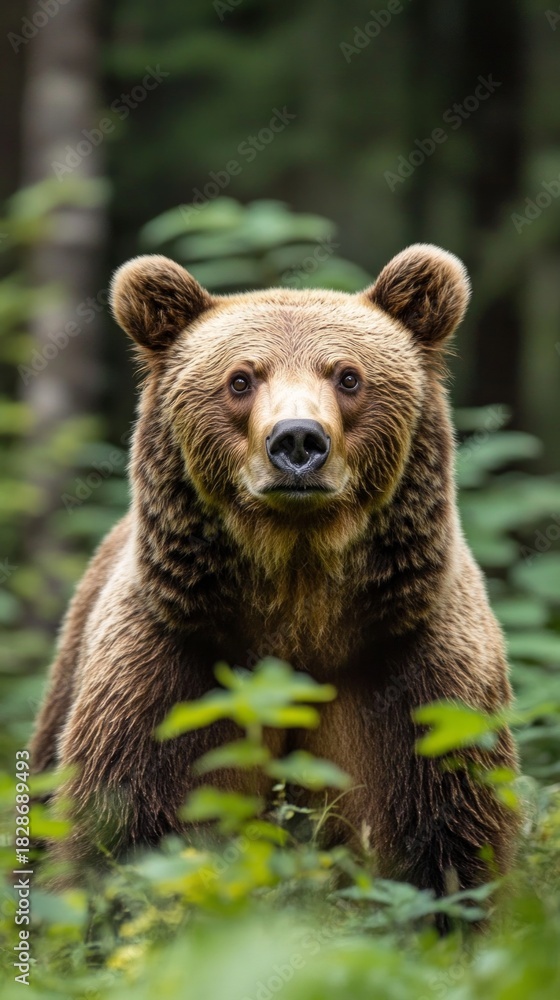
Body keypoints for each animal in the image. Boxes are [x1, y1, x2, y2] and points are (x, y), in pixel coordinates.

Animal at [30, 244, 518, 898]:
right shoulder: (169, 671)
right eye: (240, 378)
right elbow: (124, 834)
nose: (297, 441)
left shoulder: (416, 670)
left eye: (347, 376)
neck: (299, 606)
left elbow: (453, 840)